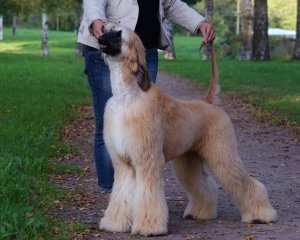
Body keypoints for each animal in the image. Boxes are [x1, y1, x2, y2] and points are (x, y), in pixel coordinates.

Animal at [96, 23, 276, 235]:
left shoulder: (148, 160)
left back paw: (260, 215)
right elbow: (121, 194)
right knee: (205, 185)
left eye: (118, 33)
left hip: (222, 153)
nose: (99, 39)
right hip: (189, 158)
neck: (127, 95)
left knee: (246, 182)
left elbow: (149, 196)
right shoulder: (124, 163)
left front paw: (150, 227)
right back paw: (200, 212)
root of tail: (208, 102)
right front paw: (115, 223)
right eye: (105, 28)